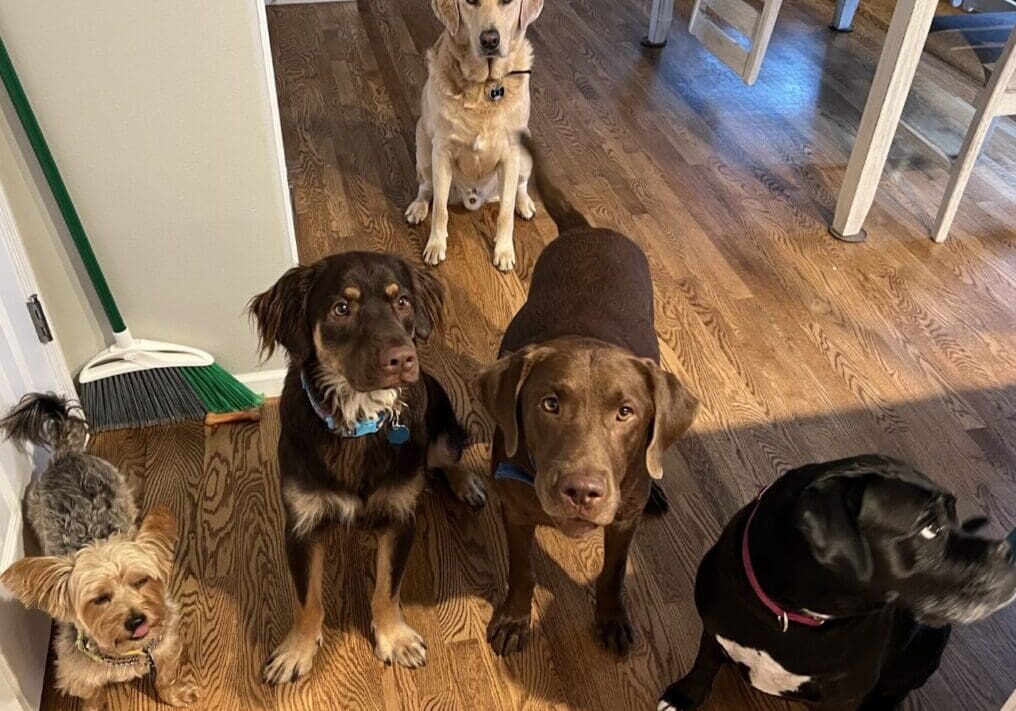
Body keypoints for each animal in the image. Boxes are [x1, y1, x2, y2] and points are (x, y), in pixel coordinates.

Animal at [0, 394, 197, 711]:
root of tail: (66, 455)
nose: (136, 620)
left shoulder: (164, 644)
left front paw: (176, 694)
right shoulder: (77, 676)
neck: (126, 652)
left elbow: (165, 677)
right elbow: (92, 697)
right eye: (100, 599)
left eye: (141, 581)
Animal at [246, 252, 483, 678]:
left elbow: (387, 589)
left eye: (402, 301)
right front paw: (297, 649)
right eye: (342, 308)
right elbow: (307, 600)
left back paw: (466, 483)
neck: (359, 420)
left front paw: (394, 638)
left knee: (449, 456)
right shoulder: (301, 525)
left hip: (442, 432)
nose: (403, 359)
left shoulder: (401, 517)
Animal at [408, 0, 544, 272]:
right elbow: (440, 209)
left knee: (519, 187)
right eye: (471, 2)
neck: (485, 86)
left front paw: (504, 251)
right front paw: (436, 245)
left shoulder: (511, 155)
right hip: (423, 146)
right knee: (426, 187)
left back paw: (524, 204)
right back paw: (418, 207)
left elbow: (505, 213)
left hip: (525, 153)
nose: (490, 40)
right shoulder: (441, 152)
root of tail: (474, 198)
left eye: (507, 2)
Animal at [475, 139, 699, 654]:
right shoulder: (516, 512)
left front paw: (612, 618)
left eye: (626, 412)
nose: (582, 491)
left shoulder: (622, 522)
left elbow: (614, 572)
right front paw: (514, 619)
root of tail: (586, 228)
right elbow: (522, 570)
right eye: (549, 404)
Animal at [658, 455, 1016, 711]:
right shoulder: (713, 622)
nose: (1010, 553)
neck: (786, 615)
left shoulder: (841, 697)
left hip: (923, 650)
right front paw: (683, 696)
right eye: (930, 528)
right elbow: (705, 661)